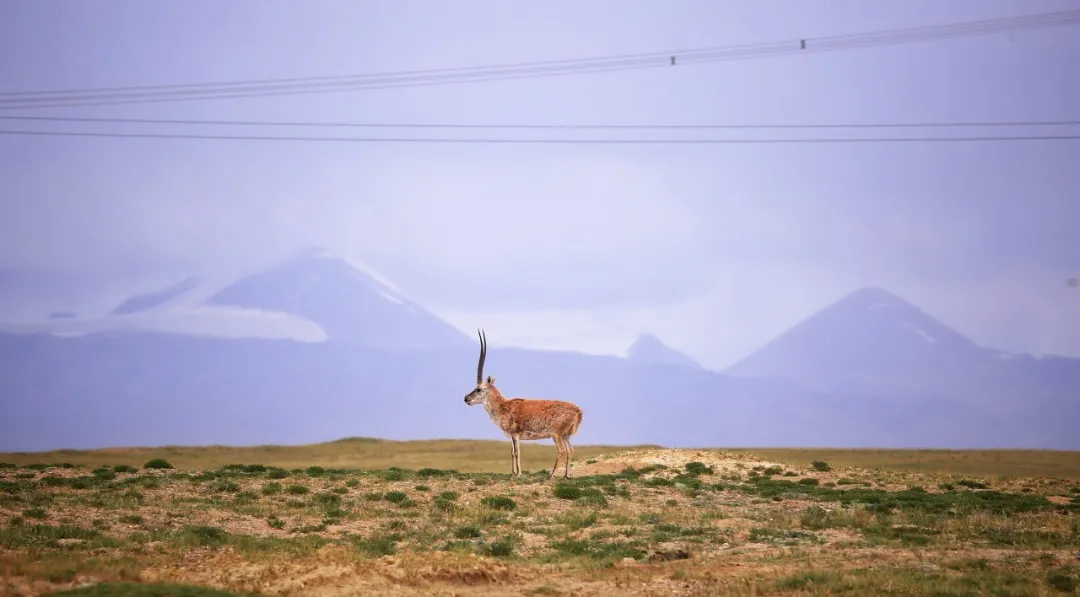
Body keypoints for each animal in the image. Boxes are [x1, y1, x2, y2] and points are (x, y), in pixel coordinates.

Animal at [464, 328, 583, 477]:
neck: (504, 407)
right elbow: (511, 452)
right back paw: (566, 475)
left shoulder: (515, 434)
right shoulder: (512, 436)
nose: (466, 398)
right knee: (570, 450)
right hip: (566, 435)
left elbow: (517, 452)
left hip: (556, 435)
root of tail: (578, 411)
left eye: (479, 389)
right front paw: (513, 473)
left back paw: (552, 475)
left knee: (561, 450)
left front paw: (519, 474)